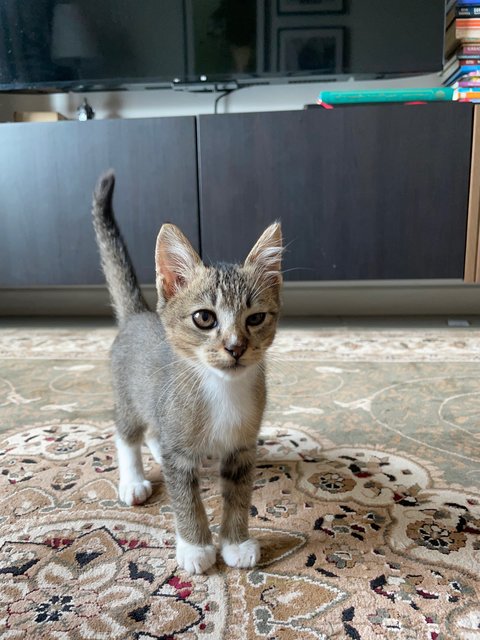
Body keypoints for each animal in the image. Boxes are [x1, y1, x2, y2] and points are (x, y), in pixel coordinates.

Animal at [92, 170, 284, 576]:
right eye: (204, 318)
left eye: (255, 318)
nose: (235, 347)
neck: (222, 390)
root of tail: (138, 314)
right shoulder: (179, 453)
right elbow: (186, 499)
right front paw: (196, 547)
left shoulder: (243, 447)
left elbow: (239, 495)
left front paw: (236, 542)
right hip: (129, 395)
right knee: (127, 432)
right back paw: (133, 479)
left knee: (155, 433)